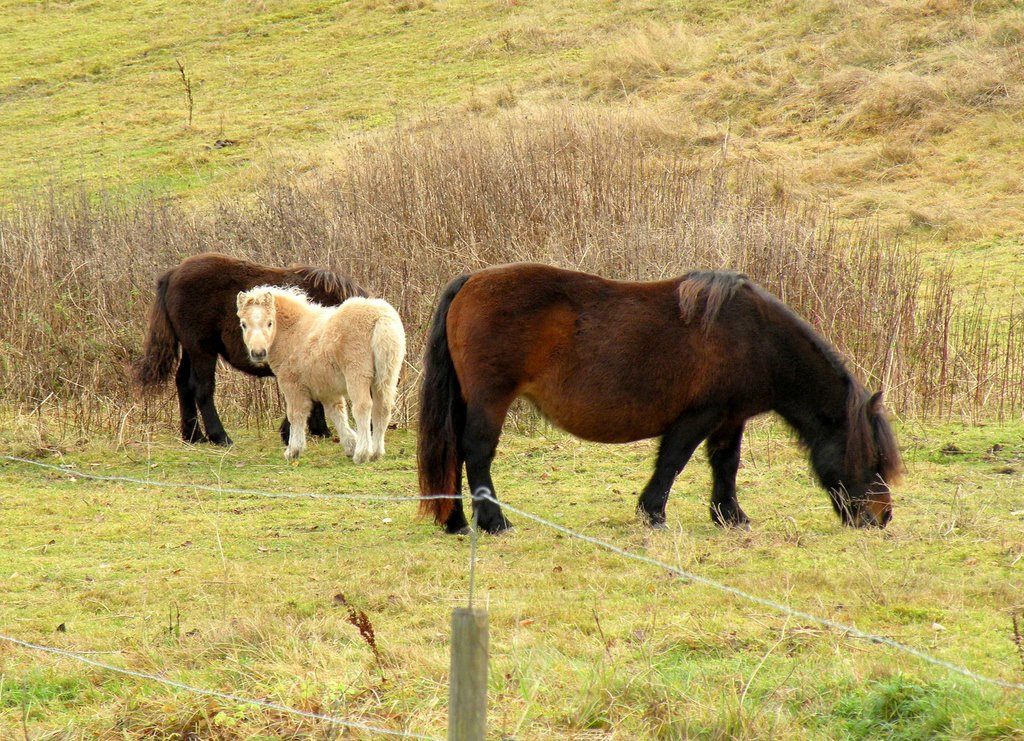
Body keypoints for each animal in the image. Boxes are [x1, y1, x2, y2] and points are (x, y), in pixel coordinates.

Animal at [136, 252, 366, 446]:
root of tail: (173, 274)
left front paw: (318, 430)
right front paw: (291, 432)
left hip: (190, 351)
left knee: (182, 383)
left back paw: (193, 436)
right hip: (202, 351)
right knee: (201, 388)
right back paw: (220, 436)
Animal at [419, 264, 901, 536]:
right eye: (872, 458)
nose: (881, 518)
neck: (757, 338)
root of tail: (471, 281)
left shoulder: (729, 419)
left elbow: (725, 465)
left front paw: (730, 517)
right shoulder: (698, 416)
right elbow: (672, 462)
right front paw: (653, 515)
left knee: (455, 455)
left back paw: (457, 522)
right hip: (490, 400)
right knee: (477, 453)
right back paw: (494, 523)